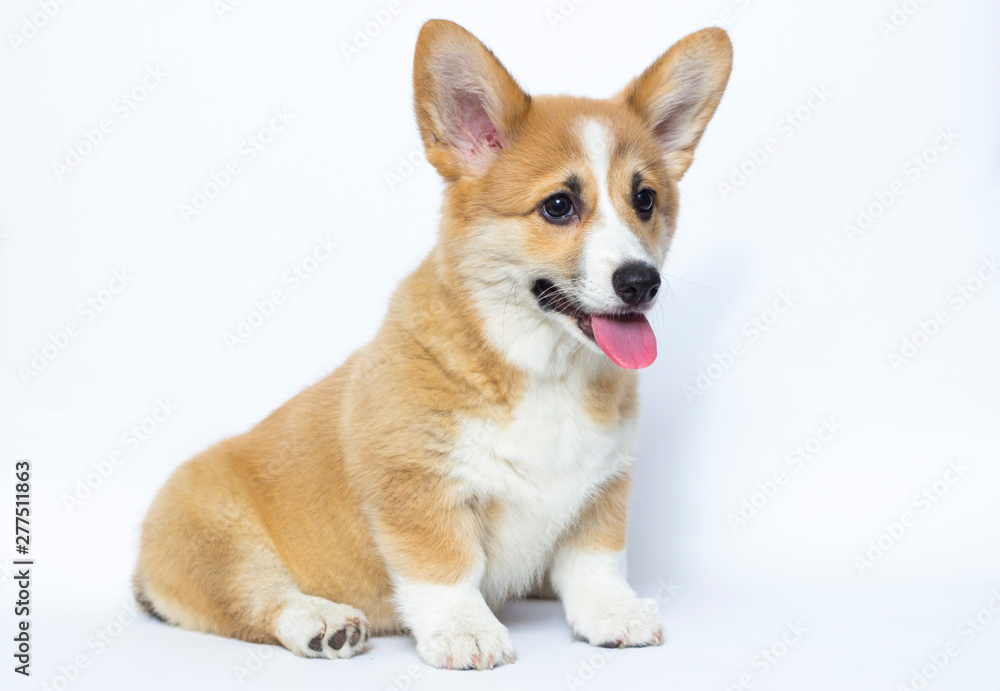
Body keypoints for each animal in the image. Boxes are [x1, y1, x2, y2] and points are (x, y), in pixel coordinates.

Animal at [133, 20, 732, 672]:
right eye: (559, 206)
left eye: (644, 199)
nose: (641, 282)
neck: (542, 369)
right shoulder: (417, 489)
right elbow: (446, 569)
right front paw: (466, 631)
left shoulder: (601, 488)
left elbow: (596, 562)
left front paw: (612, 613)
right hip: (218, 542)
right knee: (257, 596)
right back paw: (321, 622)